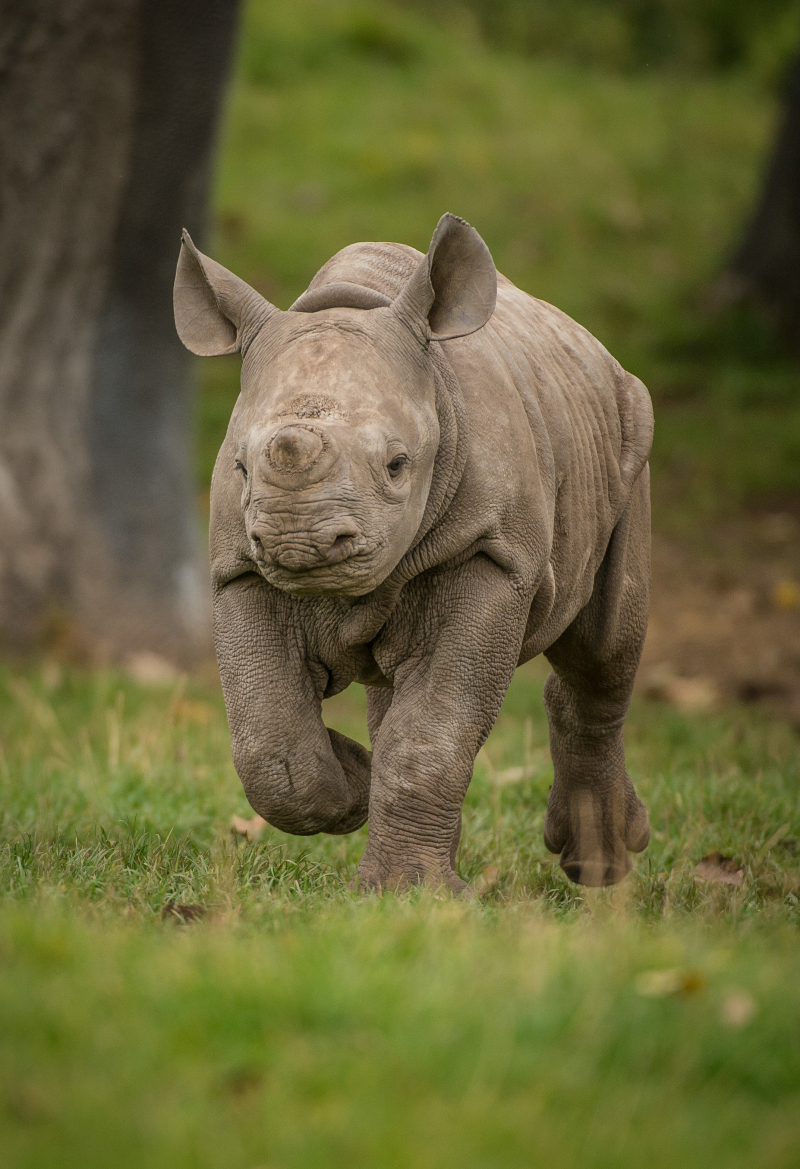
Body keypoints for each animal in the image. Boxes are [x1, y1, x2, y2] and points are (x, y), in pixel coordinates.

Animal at [174, 213, 653, 893]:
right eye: (240, 467)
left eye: (398, 465)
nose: (300, 543)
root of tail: (592, 345)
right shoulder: (240, 567)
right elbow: (270, 744)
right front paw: (357, 786)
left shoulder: (491, 553)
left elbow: (431, 734)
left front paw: (408, 894)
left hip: (630, 433)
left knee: (603, 648)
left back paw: (599, 869)